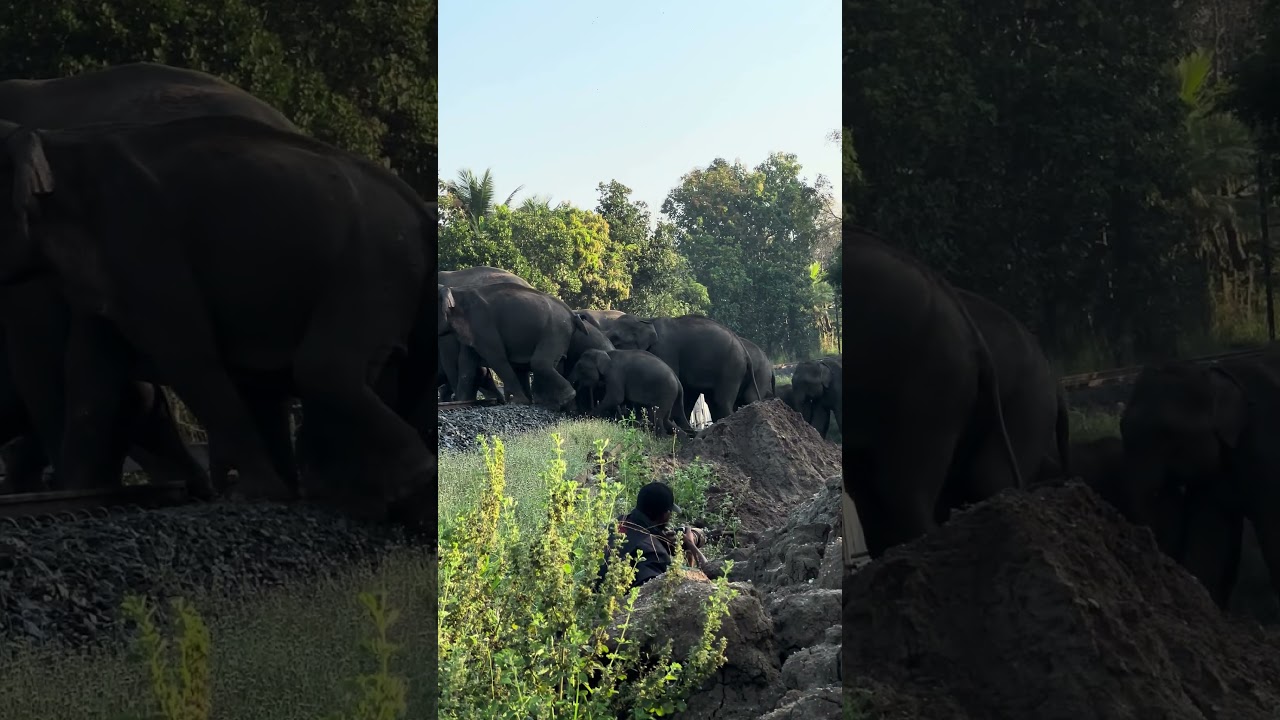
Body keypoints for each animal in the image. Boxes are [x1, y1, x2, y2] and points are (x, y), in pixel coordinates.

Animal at [0, 113, 435, 518]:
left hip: (373, 260)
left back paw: (405, 482)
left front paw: (254, 494)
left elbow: (185, 353)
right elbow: (90, 367)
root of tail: (417, 206)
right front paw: (74, 496)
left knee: (323, 368)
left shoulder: (142, 238)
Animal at [438, 283, 585, 408]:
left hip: (555, 330)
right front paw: (462, 402)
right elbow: (466, 362)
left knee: (539, 363)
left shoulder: (482, 323)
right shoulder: (472, 329)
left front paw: (518, 402)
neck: (455, 292)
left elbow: (496, 357)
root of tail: (573, 314)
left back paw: (564, 398)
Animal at [567, 349, 695, 436]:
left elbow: (616, 398)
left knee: (657, 417)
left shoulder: (615, 374)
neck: (606, 353)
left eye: (580, 366)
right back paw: (684, 437)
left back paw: (661, 438)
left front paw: (587, 417)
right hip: (673, 396)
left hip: (665, 393)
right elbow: (621, 400)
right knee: (669, 417)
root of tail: (678, 381)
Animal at [605, 314, 758, 422]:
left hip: (731, 369)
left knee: (720, 402)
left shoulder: (665, 349)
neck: (646, 320)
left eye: (615, 338)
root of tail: (746, 354)